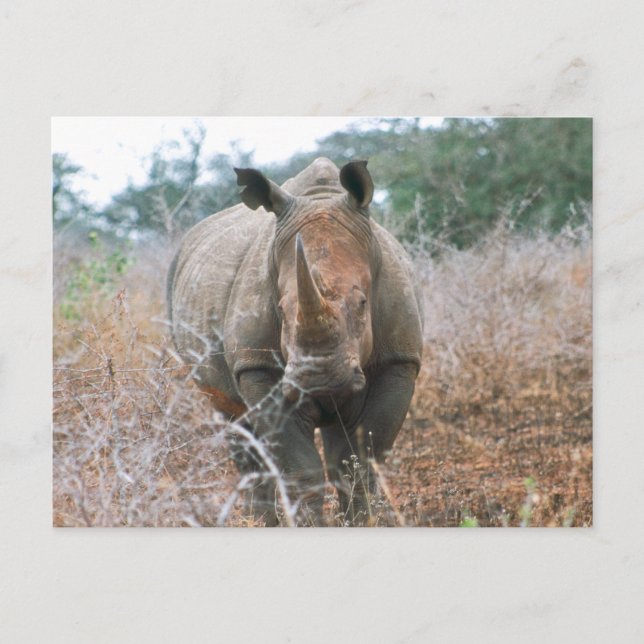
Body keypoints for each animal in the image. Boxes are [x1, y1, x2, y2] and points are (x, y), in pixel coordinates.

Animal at [167, 157, 423, 526]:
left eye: (363, 303)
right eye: (281, 309)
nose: (318, 379)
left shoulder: (399, 360)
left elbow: (360, 463)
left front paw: (361, 523)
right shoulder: (259, 368)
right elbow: (301, 467)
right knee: (237, 427)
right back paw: (259, 522)